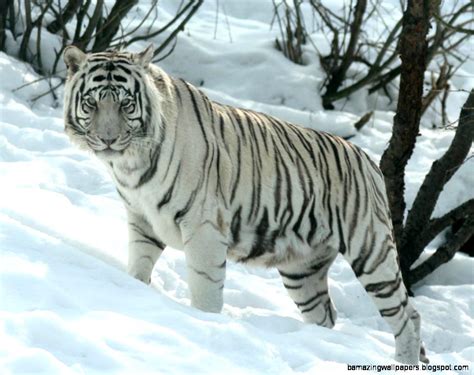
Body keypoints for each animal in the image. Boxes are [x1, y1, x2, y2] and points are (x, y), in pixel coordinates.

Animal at [61, 44, 428, 364]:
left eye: (125, 105)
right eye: (92, 103)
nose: (108, 140)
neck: (129, 163)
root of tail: (367, 159)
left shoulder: (203, 226)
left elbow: (205, 287)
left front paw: (203, 322)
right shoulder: (143, 219)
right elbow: (138, 267)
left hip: (371, 251)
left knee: (407, 315)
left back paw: (405, 359)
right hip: (302, 270)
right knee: (326, 314)